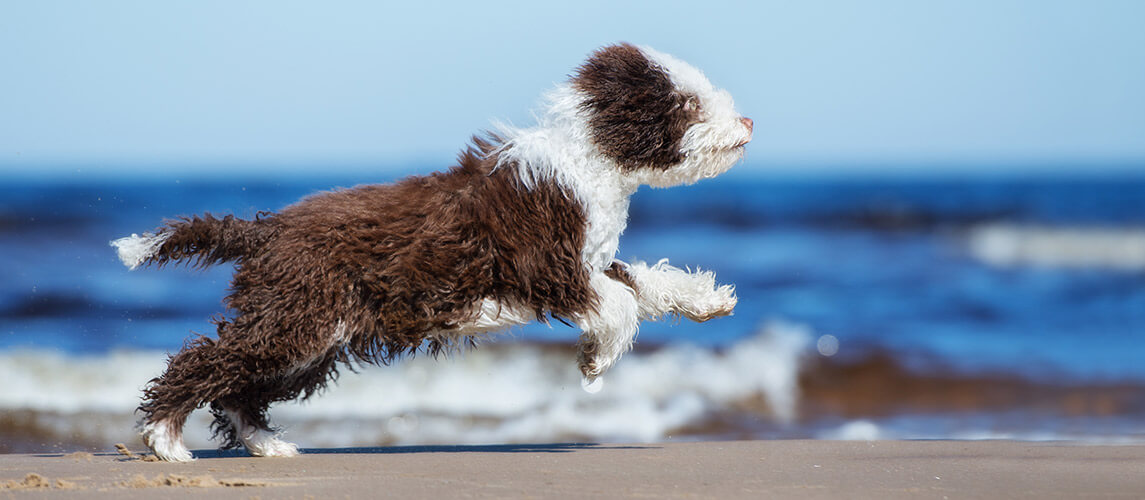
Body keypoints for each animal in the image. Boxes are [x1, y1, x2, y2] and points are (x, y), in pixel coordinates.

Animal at [113, 42, 751, 459]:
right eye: (687, 104)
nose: (746, 120)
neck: (588, 160)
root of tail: (266, 231)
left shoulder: (588, 260)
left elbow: (640, 280)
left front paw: (707, 299)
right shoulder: (546, 267)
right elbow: (617, 302)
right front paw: (596, 359)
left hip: (313, 333)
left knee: (240, 387)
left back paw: (266, 444)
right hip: (295, 318)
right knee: (206, 362)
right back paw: (166, 438)